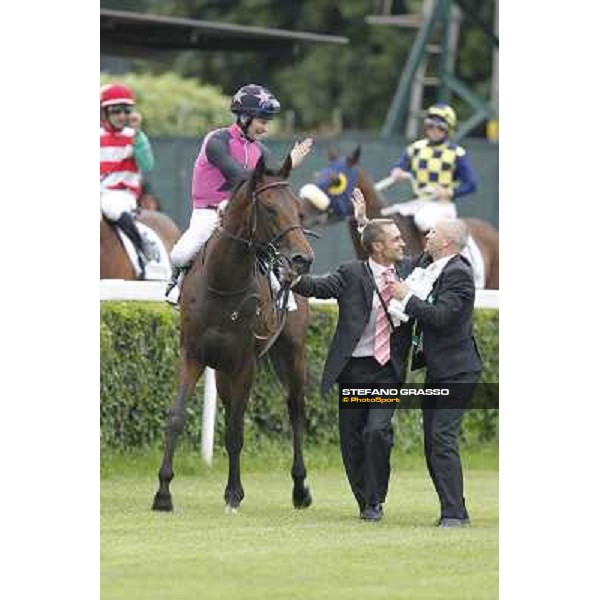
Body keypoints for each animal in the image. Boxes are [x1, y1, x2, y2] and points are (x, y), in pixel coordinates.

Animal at [151, 152, 314, 512]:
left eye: (299, 209)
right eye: (269, 208)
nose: (302, 259)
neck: (223, 282)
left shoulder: (245, 364)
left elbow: (237, 433)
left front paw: (234, 492)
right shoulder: (193, 354)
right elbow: (177, 417)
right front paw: (163, 493)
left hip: (291, 354)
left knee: (295, 410)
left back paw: (300, 488)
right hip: (223, 371)